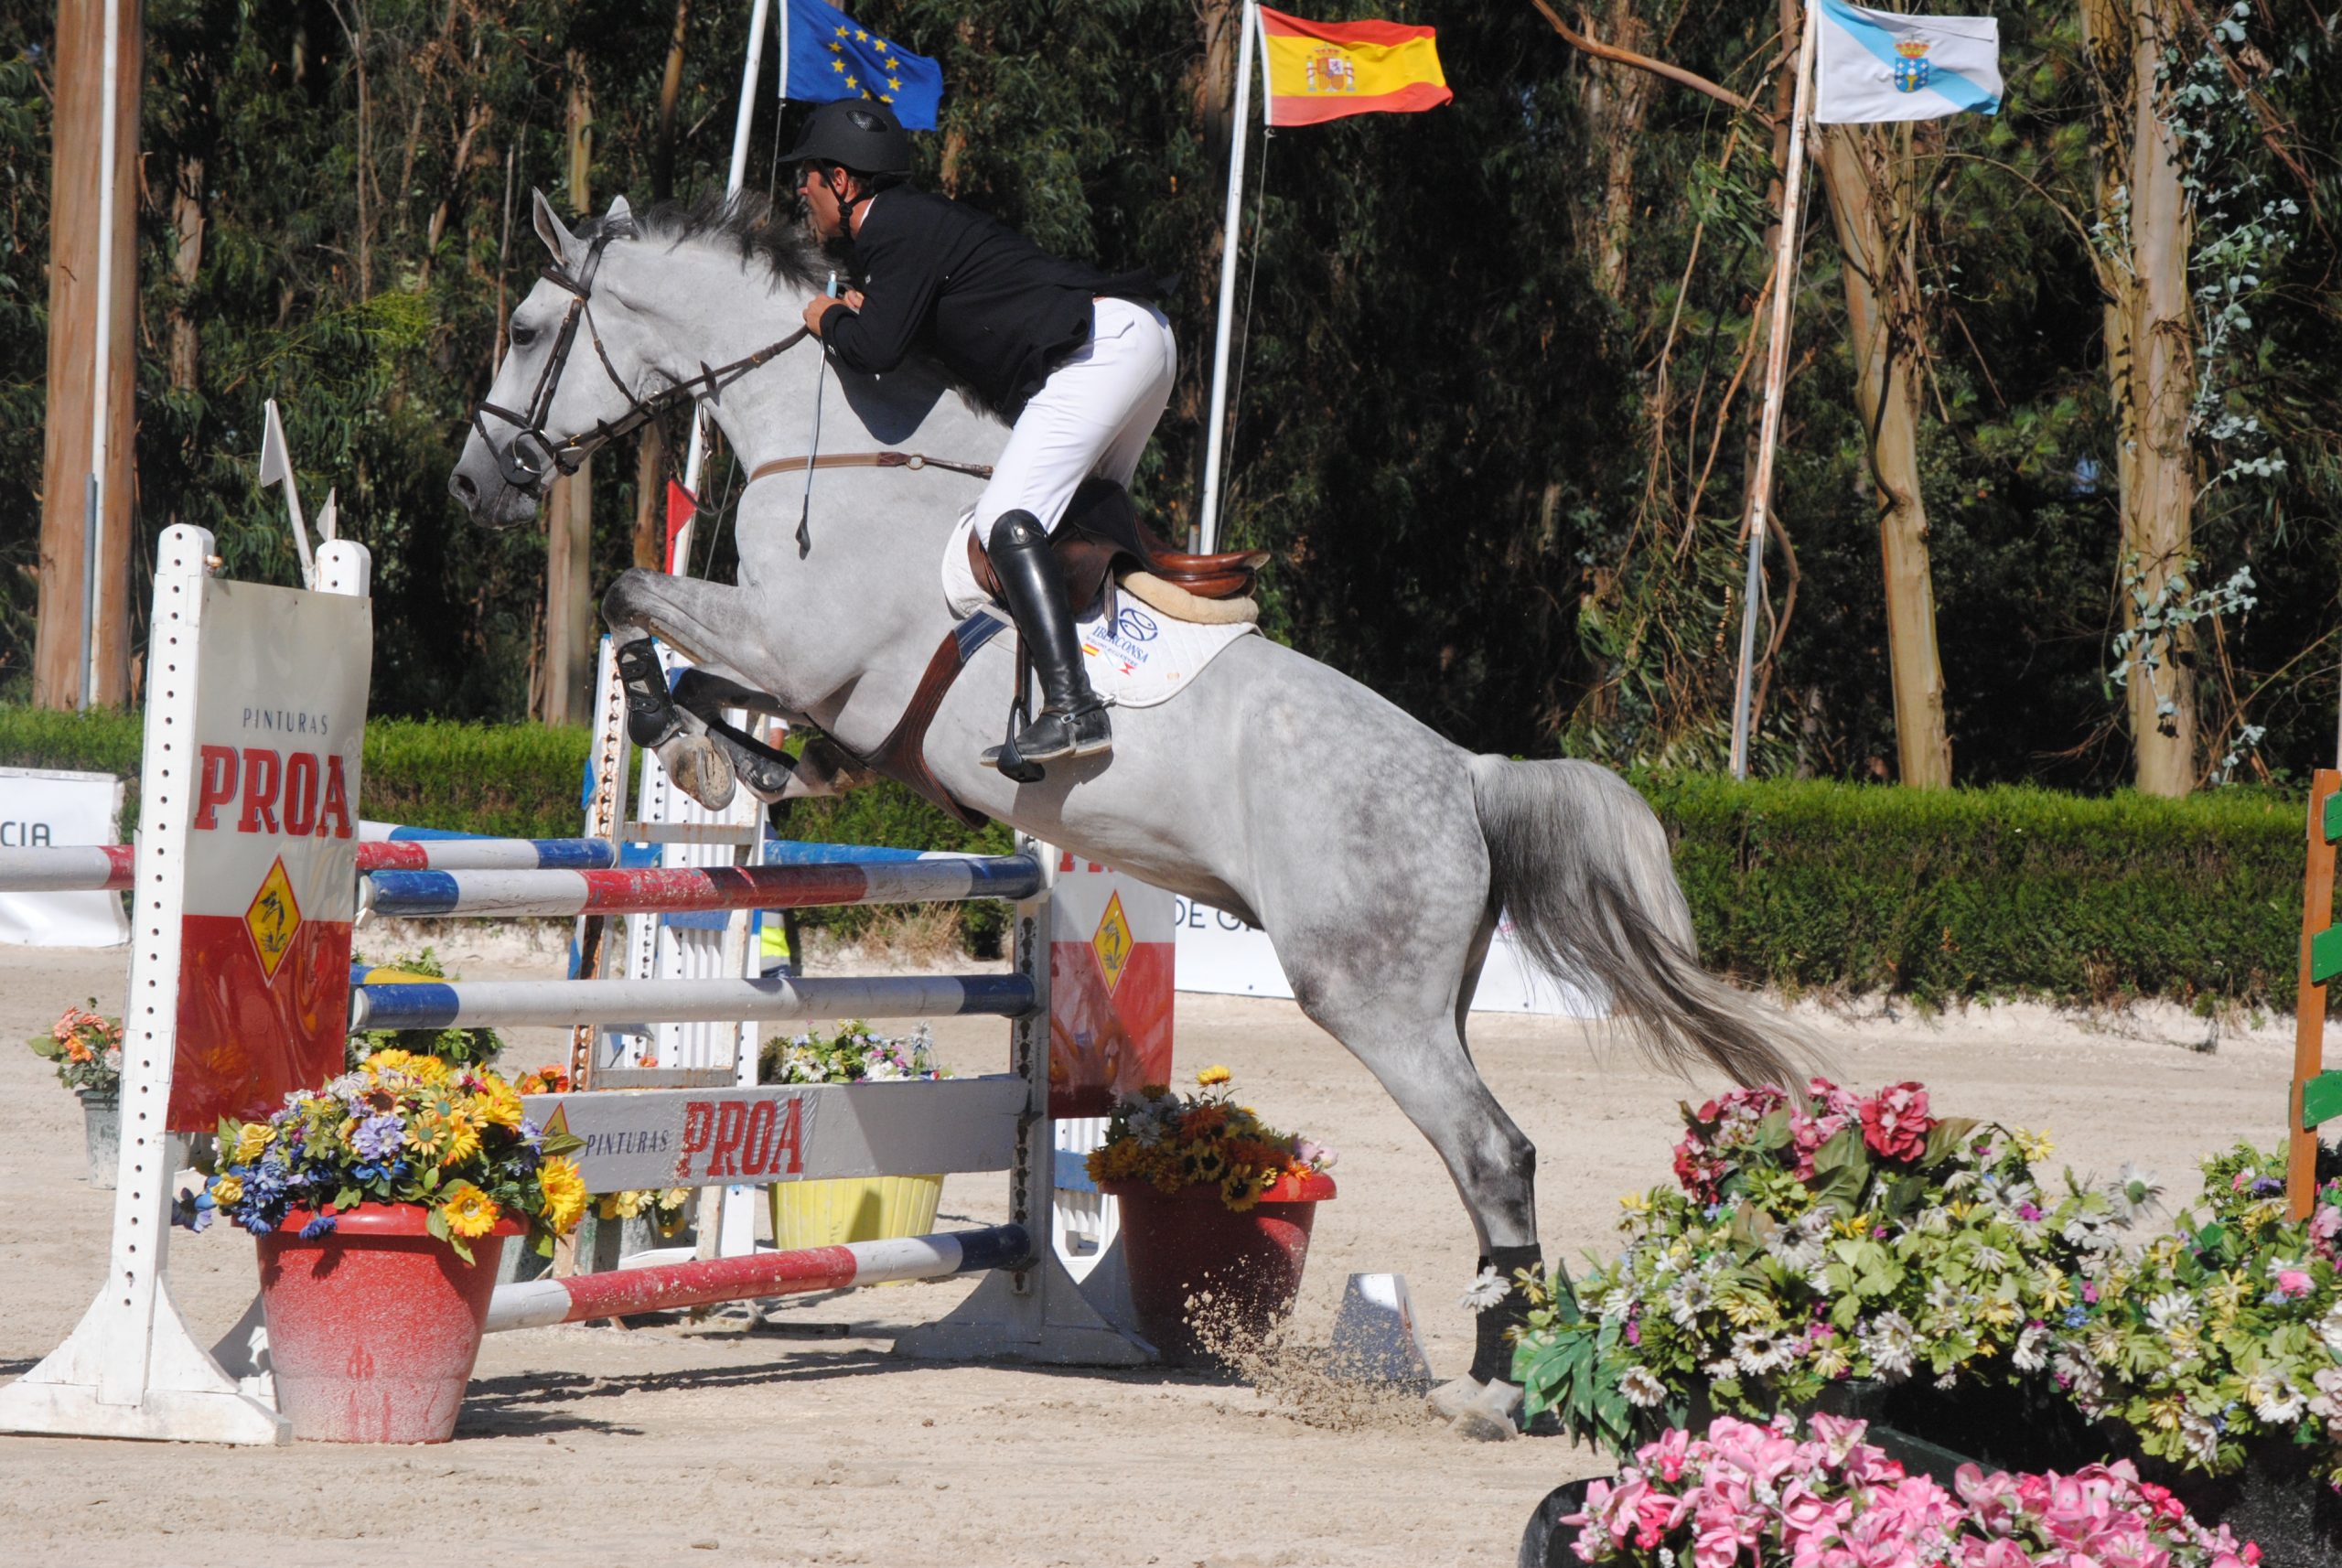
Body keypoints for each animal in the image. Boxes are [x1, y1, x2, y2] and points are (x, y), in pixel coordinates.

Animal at [448, 189, 1805, 1437]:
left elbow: (634, 595)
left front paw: (691, 747)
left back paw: (1491, 1389)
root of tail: (1469, 772)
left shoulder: (804, 647)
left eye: (524, 329)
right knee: (1487, 1149)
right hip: (1432, 993)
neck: (835, 448)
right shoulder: (807, 675)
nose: (474, 485)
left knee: (1492, 1151)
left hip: (1367, 995)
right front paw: (744, 765)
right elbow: (708, 677)